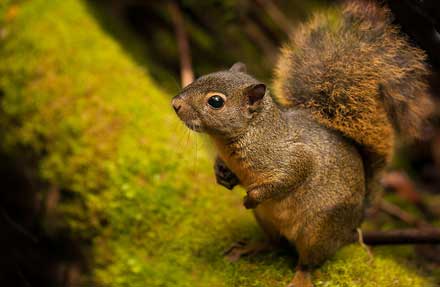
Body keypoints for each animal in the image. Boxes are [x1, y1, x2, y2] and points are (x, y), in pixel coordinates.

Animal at [170, 1, 432, 286]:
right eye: (201, 76)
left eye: (216, 102)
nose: (175, 104)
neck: (249, 135)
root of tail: (353, 227)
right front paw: (222, 174)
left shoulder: (294, 157)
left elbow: (288, 178)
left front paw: (252, 197)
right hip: (268, 221)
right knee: (274, 243)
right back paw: (250, 247)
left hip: (317, 232)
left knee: (308, 261)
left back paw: (300, 277)